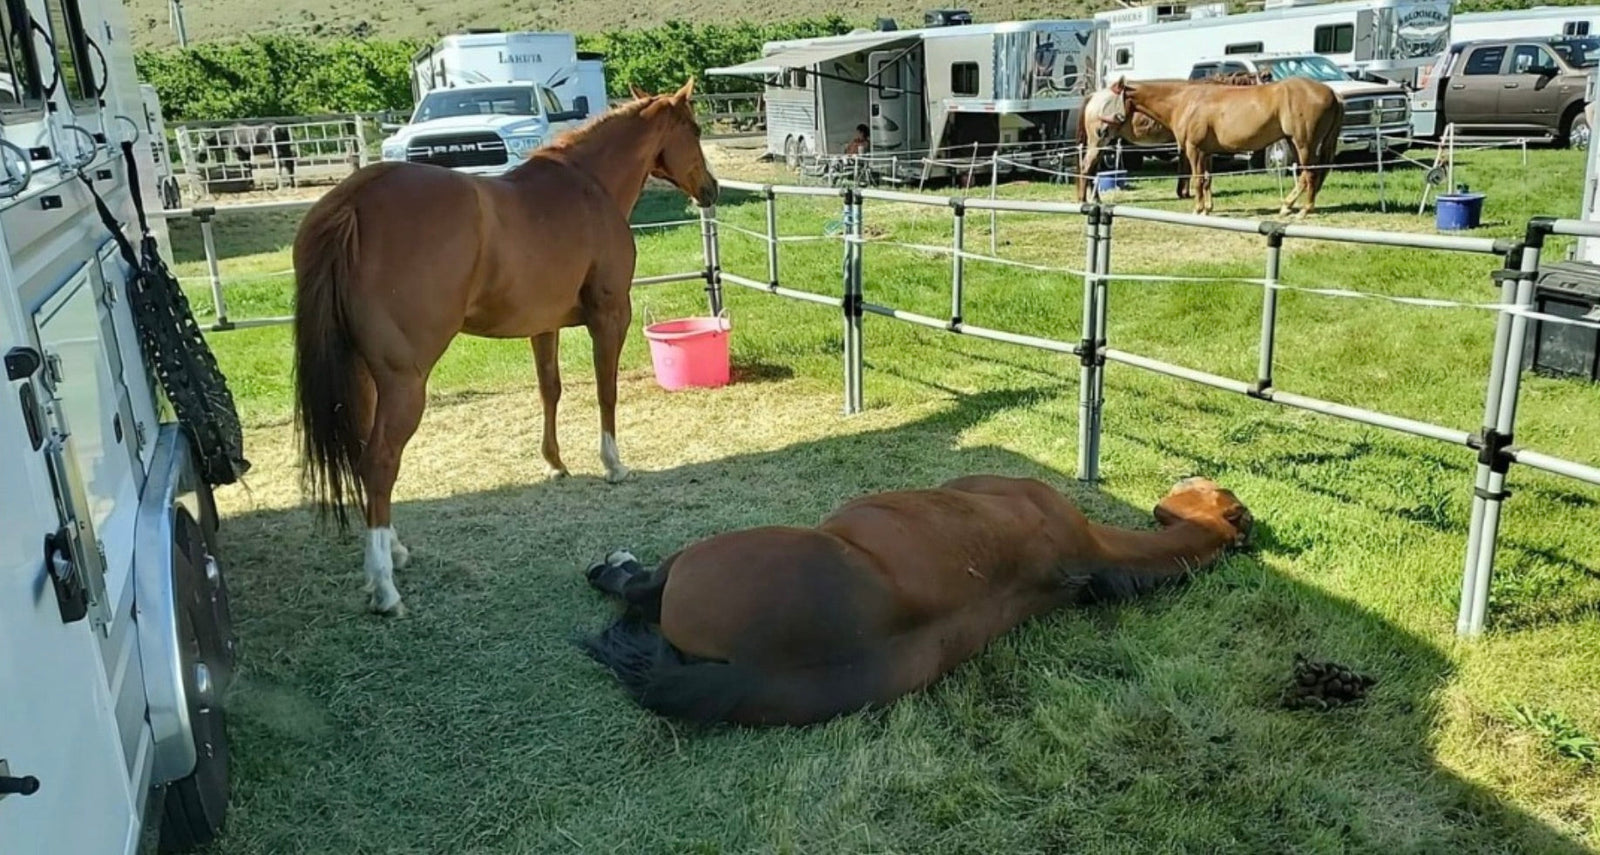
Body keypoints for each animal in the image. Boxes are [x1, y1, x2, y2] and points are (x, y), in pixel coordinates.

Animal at [291, 79, 719, 616]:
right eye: (695, 130)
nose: (711, 189)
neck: (588, 186)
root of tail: (353, 202)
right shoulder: (610, 315)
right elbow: (607, 391)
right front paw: (613, 464)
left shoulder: (543, 327)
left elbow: (550, 390)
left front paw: (555, 463)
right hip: (404, 381)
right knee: (379, 462)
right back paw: (385, 586)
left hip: (363, 374)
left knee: (365, 459)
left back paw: (395, 551)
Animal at [1076, 71, 1269, 204]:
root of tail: (1093, 96)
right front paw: (1186, 194)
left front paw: (1185, 193)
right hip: (1099, 142)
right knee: (1086, 167)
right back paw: (1084, 199)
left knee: (1092, 170)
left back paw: (1095, 199)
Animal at [1103, 75, 1344, 218]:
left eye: (1108, 101)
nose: (1102, 130)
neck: (1184, 102)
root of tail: (1333, 93)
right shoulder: (1206, 152)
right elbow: (1207, 180)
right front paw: (1208, 208)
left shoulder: (1194, 150)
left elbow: (1197, 181)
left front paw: (1198, 209)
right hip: (1295, 143)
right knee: (1305, 176)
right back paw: (1287, 206)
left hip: (1304, 144)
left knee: (1310, 174)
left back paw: (1303, 210)